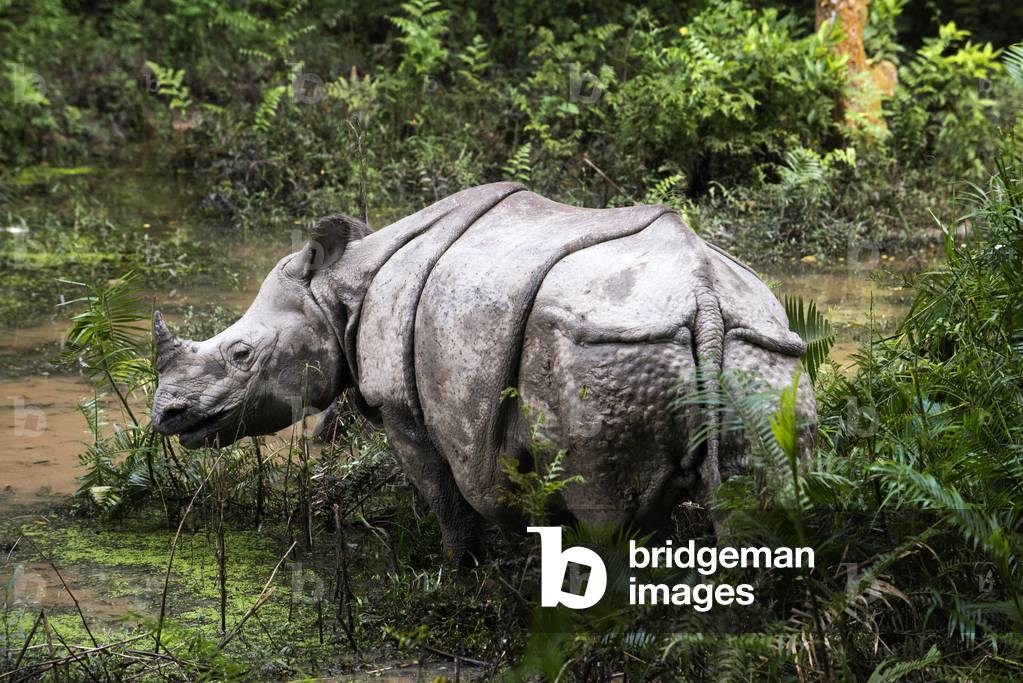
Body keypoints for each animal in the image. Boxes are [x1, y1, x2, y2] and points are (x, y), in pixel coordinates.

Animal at [150, 182, 815, 562]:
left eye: (240, 354)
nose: (166, 414)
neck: (338, 289)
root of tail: (703, 297)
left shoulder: (401, 405)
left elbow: (444, 497)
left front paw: (456, 574)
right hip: (762, 349)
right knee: (762, 498)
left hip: (606, 349)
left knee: (607, 514)